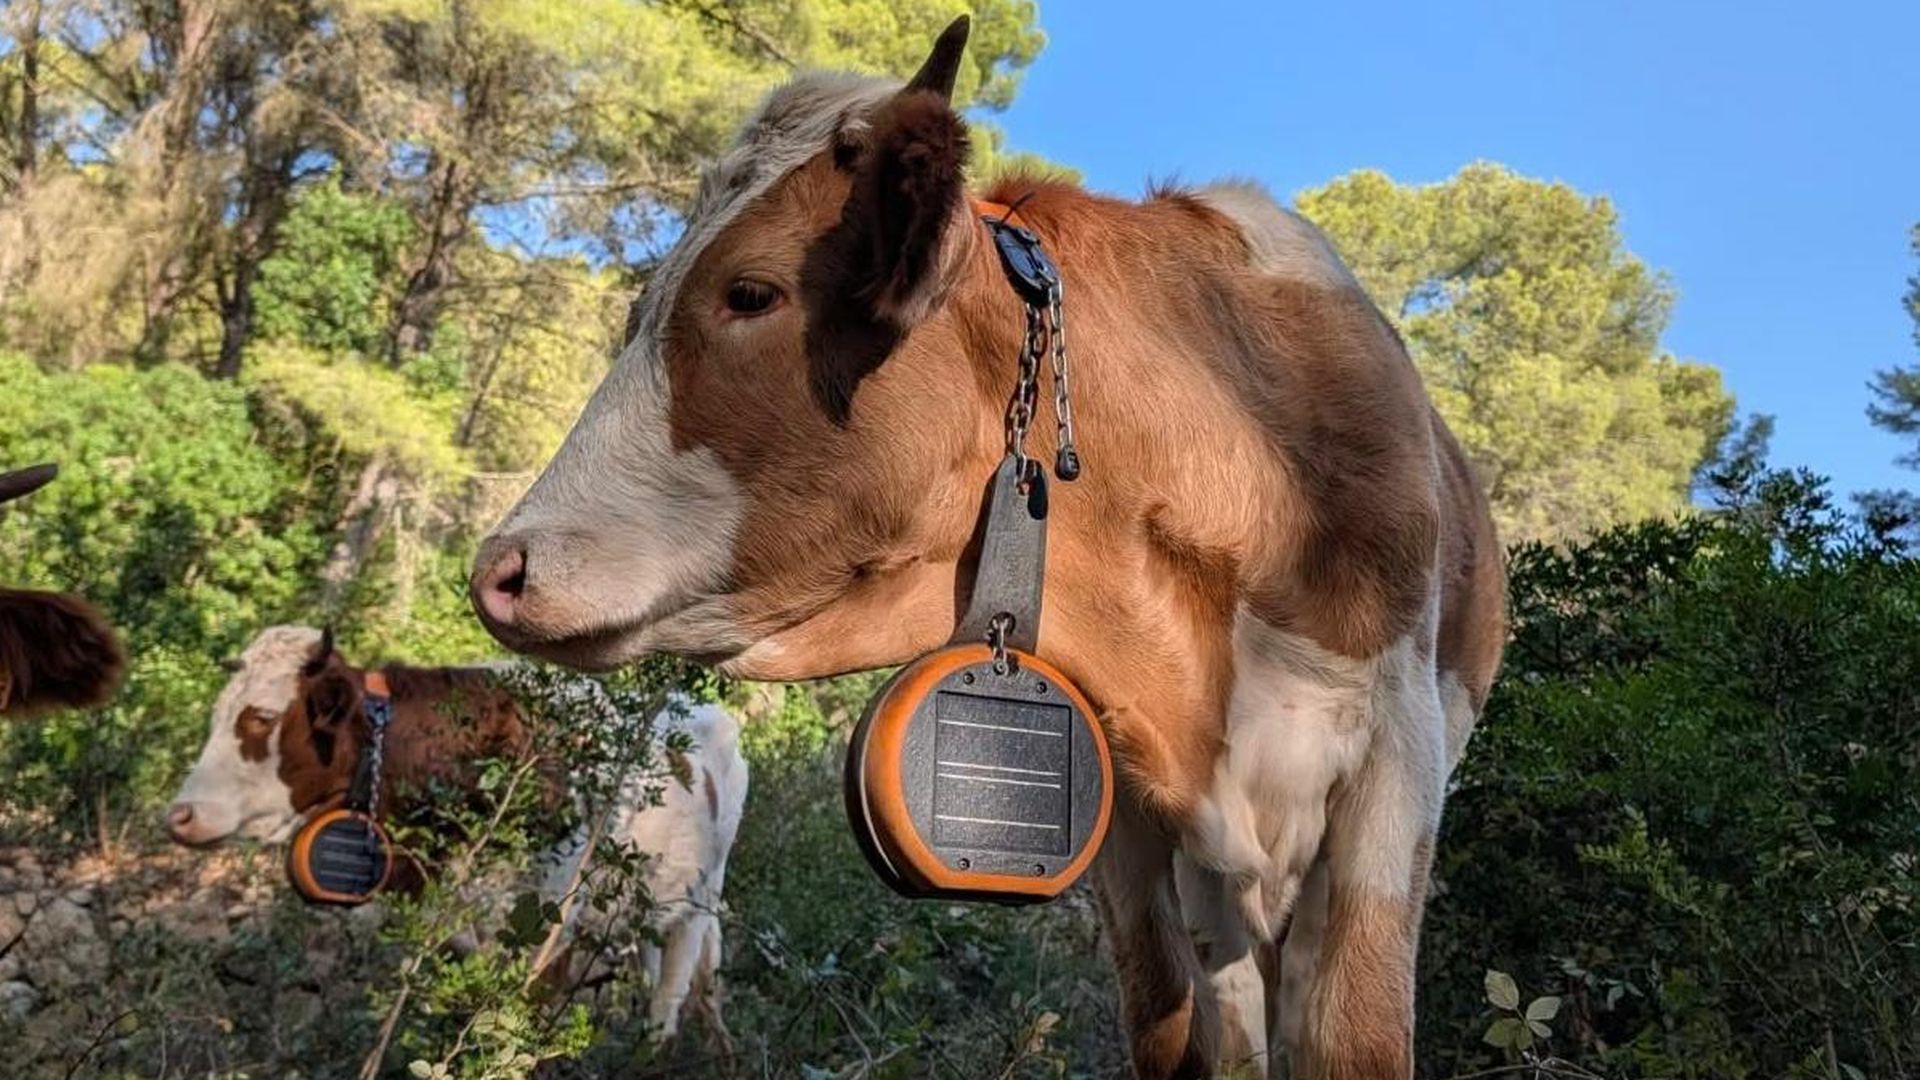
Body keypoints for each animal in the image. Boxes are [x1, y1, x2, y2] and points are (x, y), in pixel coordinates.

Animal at [465, 17, 1505, 1079]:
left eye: (749, 292)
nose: (500, 571)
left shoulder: (1394, 769)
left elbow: (1354, 1037)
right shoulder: (1126, 816)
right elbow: (1170, 1029)